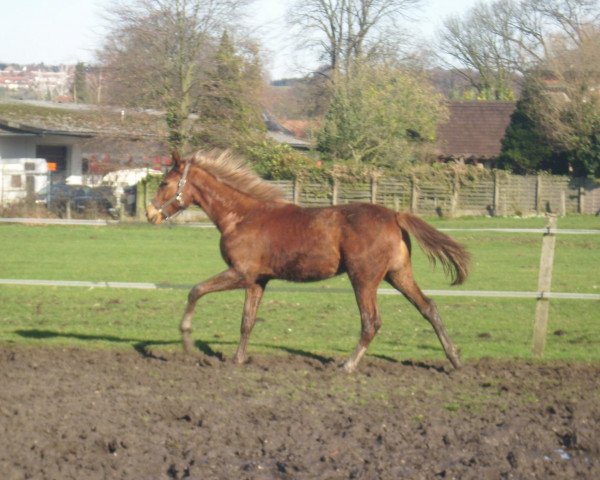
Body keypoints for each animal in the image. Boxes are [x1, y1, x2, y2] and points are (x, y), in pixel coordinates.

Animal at [145, 150, 468, 372]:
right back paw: (454, 358)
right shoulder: (258, 280)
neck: (241, 216)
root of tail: (395, 215)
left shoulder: (241, 272)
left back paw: (348, 365)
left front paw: (187, 340)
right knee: (428, 307)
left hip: (363, 279)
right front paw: (237, 358)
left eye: (164, 182)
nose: (150, 214)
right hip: (398, 274)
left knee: (371, 322)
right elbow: (247, 321)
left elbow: (196, 290)